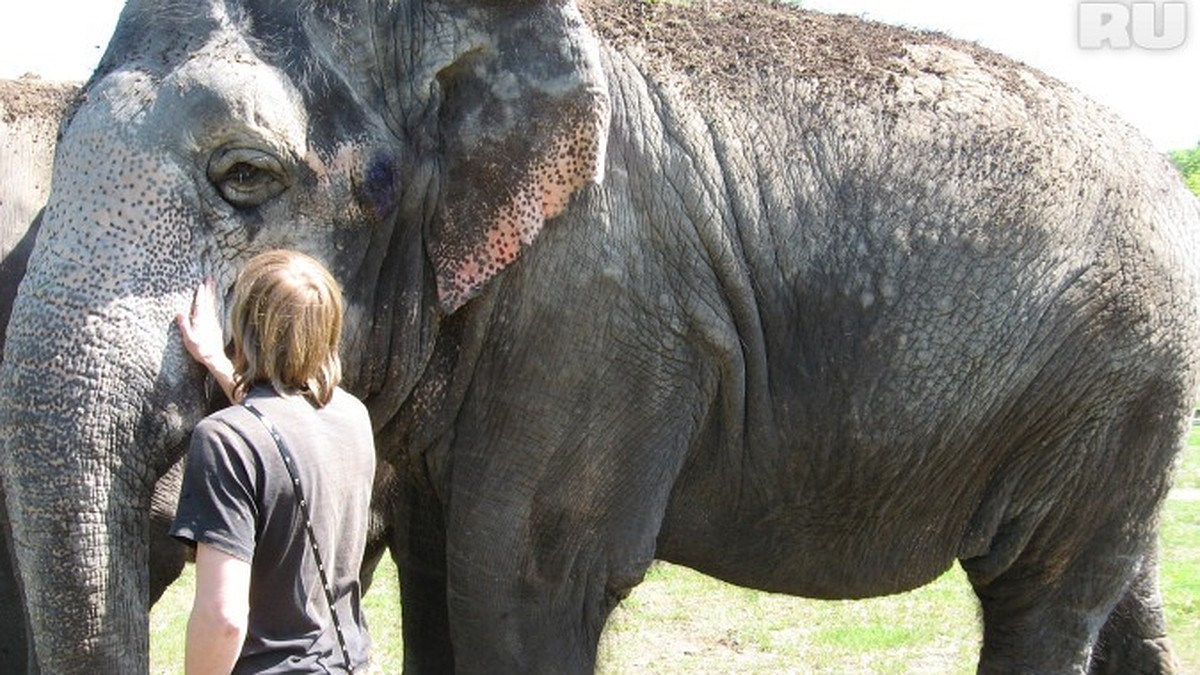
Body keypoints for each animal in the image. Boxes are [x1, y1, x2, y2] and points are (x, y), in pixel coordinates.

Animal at [2, 1, 1200, 672]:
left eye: (243, 175)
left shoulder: (602, 308)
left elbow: (519, 586)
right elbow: (439, 576)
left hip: (1122, 373)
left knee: (1042, 598)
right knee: (1116, 587)